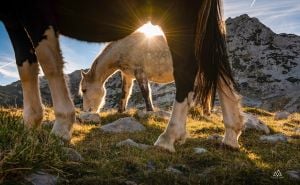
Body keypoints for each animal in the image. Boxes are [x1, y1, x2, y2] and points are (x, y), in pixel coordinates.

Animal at [0, 0, 244, 152]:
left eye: (84, 90)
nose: (87, 111)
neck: (126, 46)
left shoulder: (139, 71)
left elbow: (49, 64)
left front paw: (60, 127)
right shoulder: (128, 74)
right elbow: (125, 94)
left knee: (188, 73)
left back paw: (169, 137)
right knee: (221, 74)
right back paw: (230, 136)